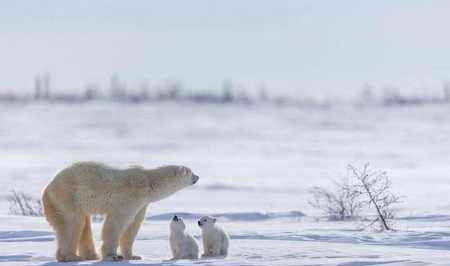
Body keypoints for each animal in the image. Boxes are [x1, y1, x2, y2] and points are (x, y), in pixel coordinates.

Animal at [41, 162, 200, 262]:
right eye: (190, 172)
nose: (197, 177)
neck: (149, 182)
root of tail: (46, 189)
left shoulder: (142, 204)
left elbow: (133, 226)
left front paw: (133, 256)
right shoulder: (130, 196)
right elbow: (117, 222)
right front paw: (112, 256)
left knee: (84, 224)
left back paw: (91, 255)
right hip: (69, 197)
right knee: (73, 224)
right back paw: (70, 256)